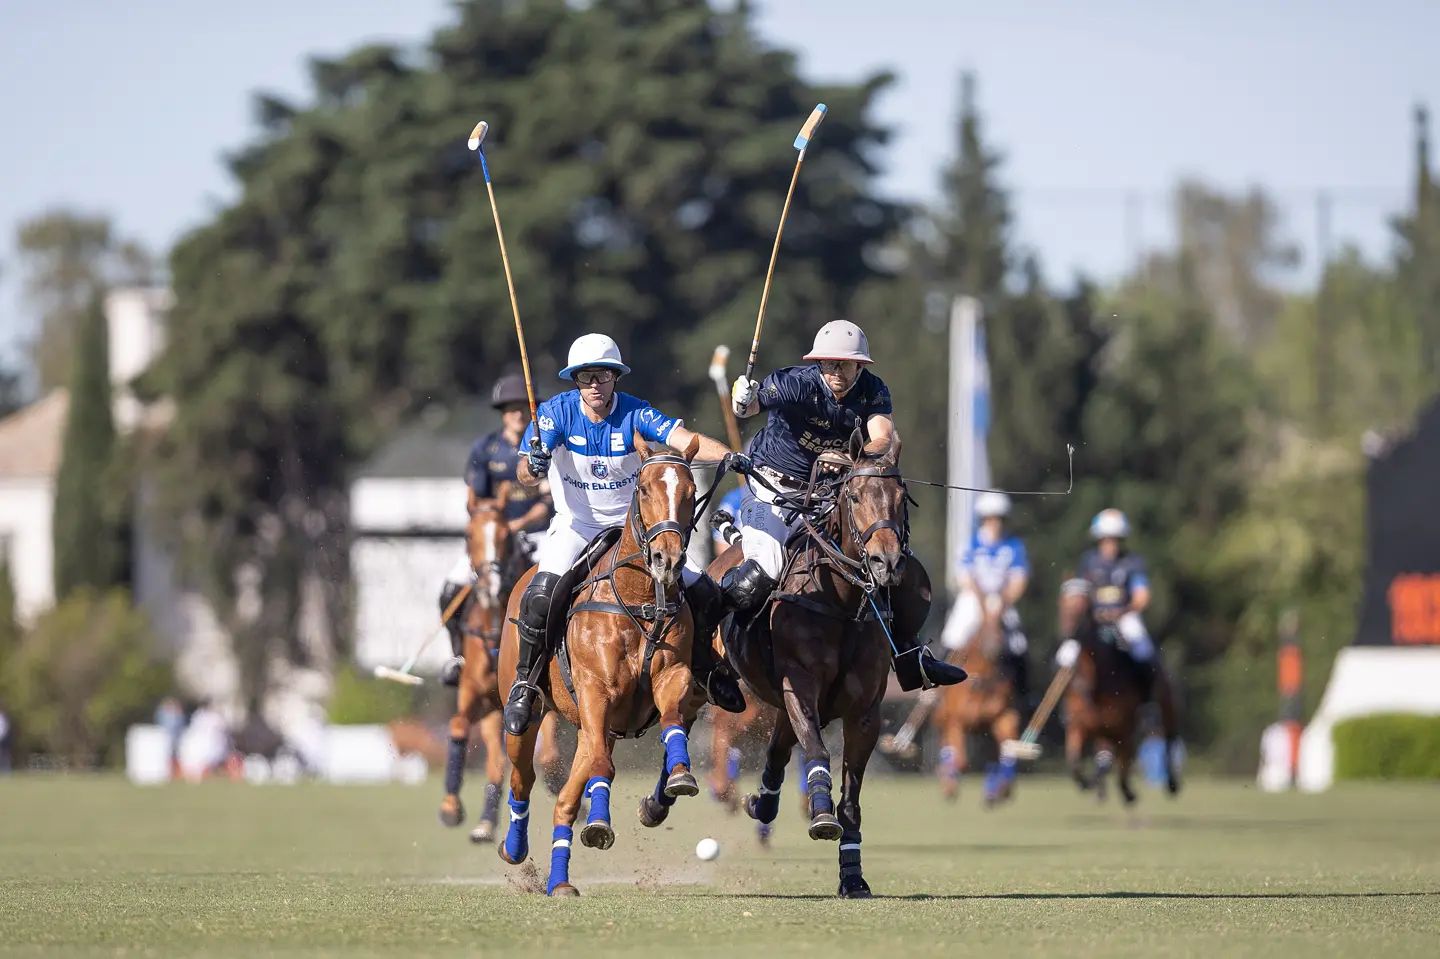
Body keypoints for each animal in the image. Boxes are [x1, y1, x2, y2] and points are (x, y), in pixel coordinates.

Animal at [434, 501, 558, 835]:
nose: (491, 587)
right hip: (492, 708)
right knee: (496, 761)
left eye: (506, 535)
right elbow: (458, 726)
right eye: (468, 534)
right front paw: (450, 807)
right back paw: (486, 822)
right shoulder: (475, 693)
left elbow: (549, 754)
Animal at [498, 437, 705, 892]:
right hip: (531, 713)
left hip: (596, 726)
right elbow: (601, 767)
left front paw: (680, 774)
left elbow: (672, 721)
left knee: (566, 797)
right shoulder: (596, 690)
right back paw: (515, 847)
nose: (667, 560)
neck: (641, 597)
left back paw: (560, 881)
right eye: (643, 489)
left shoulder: (672, 676)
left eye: (691, 492)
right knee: (524, 777)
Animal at [708, 440, 921, 898]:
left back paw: (761, 801)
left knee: (777, 748)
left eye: (901, 499)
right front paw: (822, 815)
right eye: (854, 496)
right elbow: (818, 751)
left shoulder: (864, 712)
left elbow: (852, 799)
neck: (840, 602)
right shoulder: (800, 686)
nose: (886, 562)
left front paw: (853, 875)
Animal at [1059, 581, 1180, 800]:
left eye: (1081, 606)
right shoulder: (1080, 726)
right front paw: (1087, 783)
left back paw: (1171, 783)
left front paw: (1127, 792)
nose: (1068, 632)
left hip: (1167, 706)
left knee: (1169, 738)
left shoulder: (1124, 730)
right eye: (1062, 604)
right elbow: (1074, 760)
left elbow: (1123, 765)